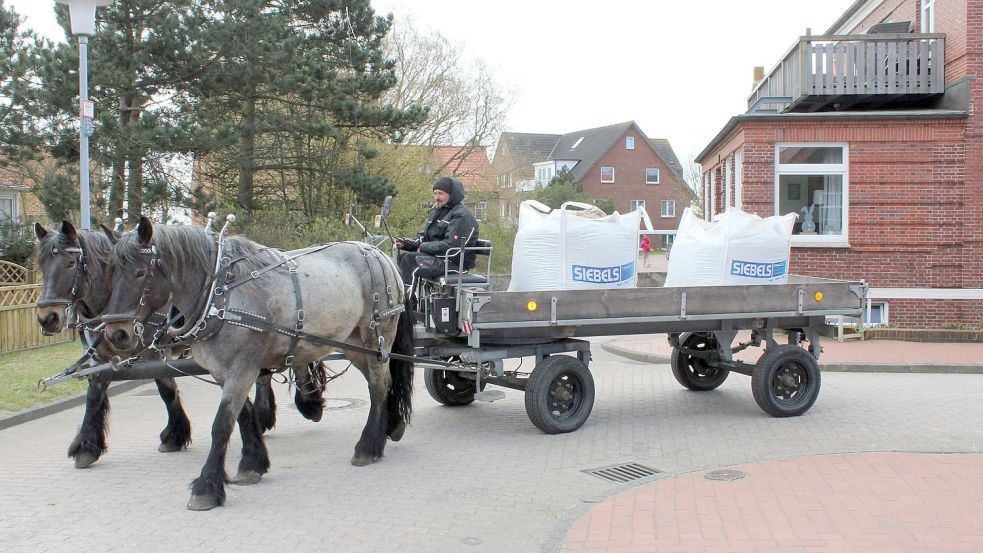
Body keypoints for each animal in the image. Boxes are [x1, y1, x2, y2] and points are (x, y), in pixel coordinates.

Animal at [103, 218, 416, 512]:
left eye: (140, 272)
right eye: (112, 271)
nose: (116, 334)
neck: (221, 295)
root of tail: (380, 254)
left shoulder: (242, 368)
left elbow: (221, 424)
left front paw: (206, 487)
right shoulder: (224, 372)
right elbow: (244, 415)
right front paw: (253, 464)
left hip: (377, 336)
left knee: (378, 386)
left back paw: (368, 447)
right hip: (354, 345)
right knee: (383, 383)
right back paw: (391, 425)